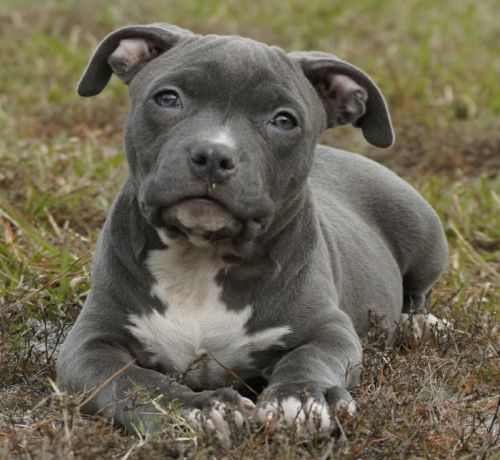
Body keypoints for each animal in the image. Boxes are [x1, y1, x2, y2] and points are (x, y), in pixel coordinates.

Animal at [56, 24, 448, 438]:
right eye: (168, 98)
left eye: (284, 120)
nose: (214, 155)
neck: (200, 256)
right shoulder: (88, 344)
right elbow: (134, 382)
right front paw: (197, 408)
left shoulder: (330, 328)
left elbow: (310, 358)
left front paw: (303, 397)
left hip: (424, 230)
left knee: (417, 295)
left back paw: (420, 327)